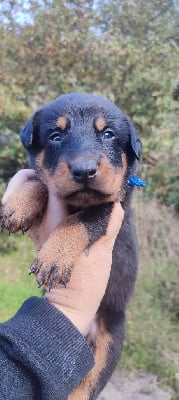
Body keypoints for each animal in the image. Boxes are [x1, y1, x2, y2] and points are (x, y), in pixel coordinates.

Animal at [0, 94, 142, 400]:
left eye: (108, 134)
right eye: (56, 136)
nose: (84, 171)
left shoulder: (112, 208)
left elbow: (81, 220)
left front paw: (54, 257)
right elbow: (40, 182)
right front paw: (16, 206)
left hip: (107, 347)